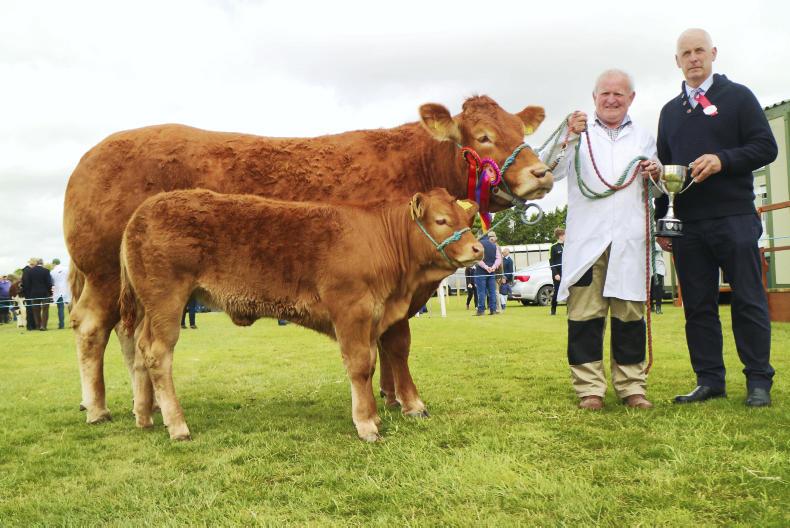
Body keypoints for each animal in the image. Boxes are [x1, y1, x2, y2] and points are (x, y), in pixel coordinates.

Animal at [119, 188, 482, 441]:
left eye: (467, 221)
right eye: (441, 220)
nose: (477, 248)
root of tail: (141, 212)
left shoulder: (372, 318)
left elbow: (374, 362)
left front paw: (376, 415)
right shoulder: (352, 310)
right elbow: (360, 366)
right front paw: (367, 423)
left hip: (148, 309)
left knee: (139, 349)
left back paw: (144, 416)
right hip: (167, 301)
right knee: (158, 355)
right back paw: (177, 425)